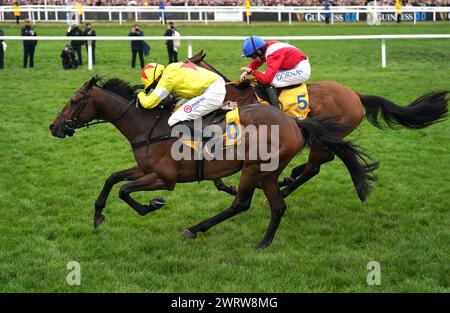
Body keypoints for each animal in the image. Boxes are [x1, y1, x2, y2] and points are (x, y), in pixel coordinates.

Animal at [49, 77, 378, 247]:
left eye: (75, 100)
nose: (54, 127)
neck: (149, 129)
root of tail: (294, 122)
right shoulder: (144, 169)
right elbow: (112, 179)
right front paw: (98, 216)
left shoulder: (164, 178)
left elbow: (124, 190)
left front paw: (151, 205)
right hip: (267, 171)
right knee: (277, 205)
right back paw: (264, 241)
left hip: (256, 167)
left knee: (243, 203)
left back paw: (198, 229)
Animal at [188, 50, 448, 199]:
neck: (235, 96)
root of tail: (356, 94)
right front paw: (229, 187)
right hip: (326, 136)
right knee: (325, 159)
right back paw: (291, 176)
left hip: (327, 134)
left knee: (316, 166)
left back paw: (286, 185)